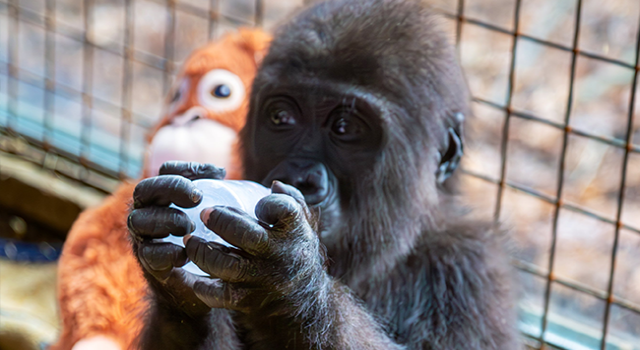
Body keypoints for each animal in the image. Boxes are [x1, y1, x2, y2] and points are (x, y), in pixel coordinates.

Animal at [126, 0, 520, 350]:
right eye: (281, 118)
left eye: (345, 128)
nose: (300, 178)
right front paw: (172, 288)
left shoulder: (471, 270)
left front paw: (288, 284)